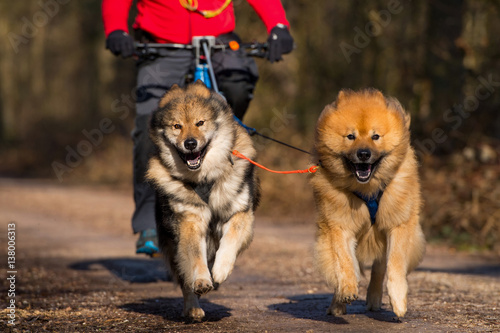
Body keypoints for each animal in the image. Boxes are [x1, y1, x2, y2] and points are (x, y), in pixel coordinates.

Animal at [146, 81, 260, 322]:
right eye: (177, 126)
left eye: (200, 123)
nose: (190, 143)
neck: (205, 178)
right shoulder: (190, 219)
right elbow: (195, 257)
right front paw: (202, 280)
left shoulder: (241, 213)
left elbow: (230, 240)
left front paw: (220, 270)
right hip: (173, 244)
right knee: (184, 278)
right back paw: (193, 308)